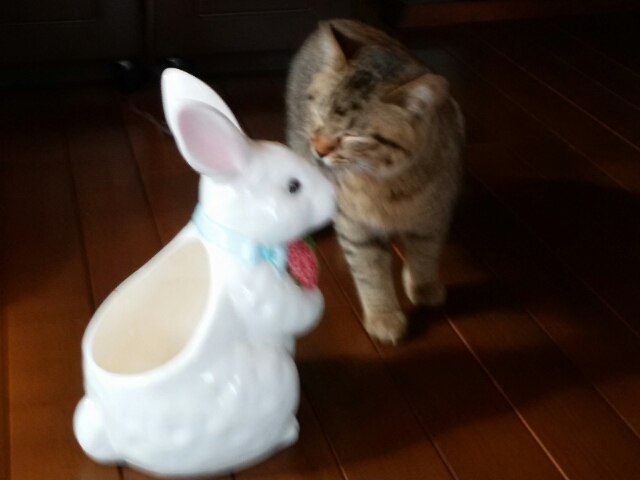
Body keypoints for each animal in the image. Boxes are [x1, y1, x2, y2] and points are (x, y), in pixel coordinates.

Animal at [285, 19, 464, 344]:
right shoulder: (355, 225)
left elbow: (425, 254)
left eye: (353, 135)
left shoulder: (435, 215)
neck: (387, 184)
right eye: (319, 114)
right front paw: (384, 316)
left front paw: (423, 286)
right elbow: (370, 273)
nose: (320, 150)